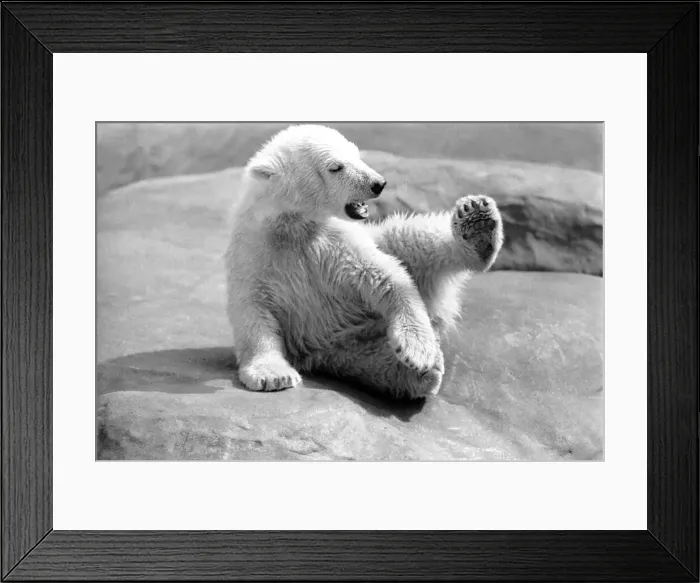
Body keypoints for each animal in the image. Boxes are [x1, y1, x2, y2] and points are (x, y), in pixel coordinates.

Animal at [224, 124, 503, 399]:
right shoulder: (253, 254)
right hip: (343, 350)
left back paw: (477, 225)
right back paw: (422, 372)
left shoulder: (336, 241)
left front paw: (418, 350)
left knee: (412, 239)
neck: (291, 225)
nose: (378, 184)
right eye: (336, 167)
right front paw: (273, 375)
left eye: (357, 154)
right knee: (377, 362)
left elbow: (385, 276)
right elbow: (252, 312)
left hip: (380, 246)